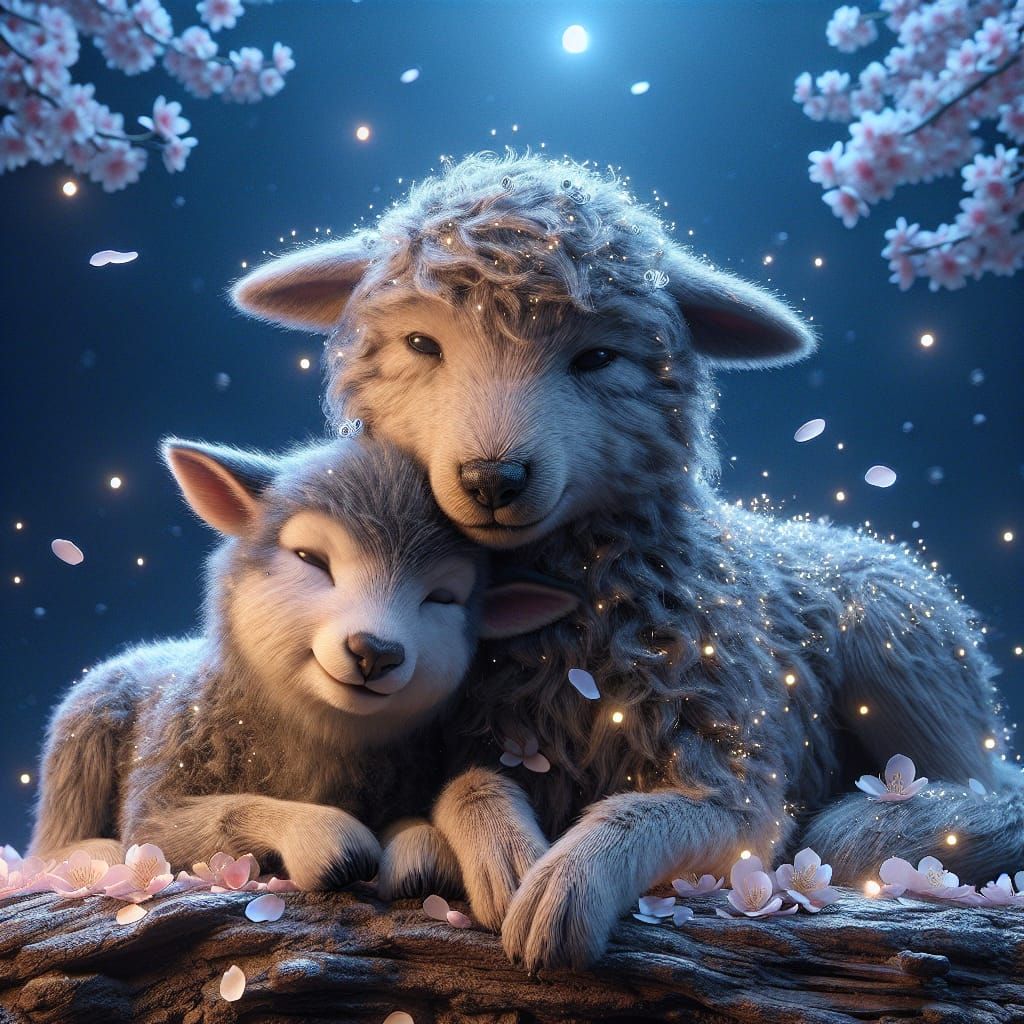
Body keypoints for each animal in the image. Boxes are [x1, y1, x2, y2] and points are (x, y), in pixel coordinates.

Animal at [28, 433, 577, 892]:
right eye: (310, 558)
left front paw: (421, 848)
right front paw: (327, 839)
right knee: (44, 846)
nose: (375, 651)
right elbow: (192, 822)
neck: (318, 735)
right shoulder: (160, 786)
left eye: (442, 599)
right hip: (84, 734)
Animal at [230, 151, 1020, 968]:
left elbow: (647, 815)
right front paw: (507, 859)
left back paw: (883, 820)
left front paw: (566, 886)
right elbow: (469, 787)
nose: (493, 479)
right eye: (422, 345)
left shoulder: (741, 774)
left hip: (908, 660)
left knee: (986, 789)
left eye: (599, 358)